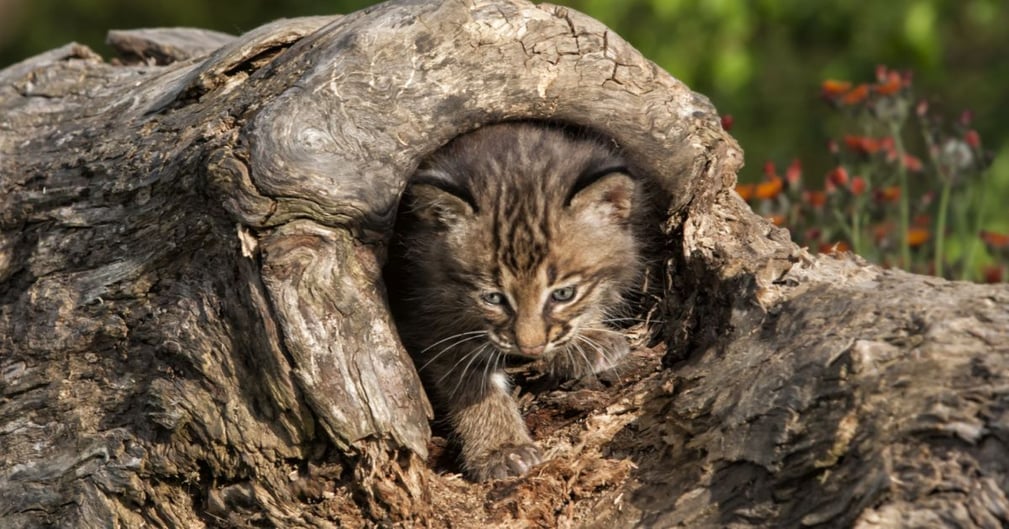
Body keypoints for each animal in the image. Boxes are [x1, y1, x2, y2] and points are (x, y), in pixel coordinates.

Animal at [389, 122, 641, 480]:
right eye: (493, 298)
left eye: (563, 294)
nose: (531, 348)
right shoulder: (428, 314)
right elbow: (470, 379)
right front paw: (500, 448)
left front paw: (588, 338)